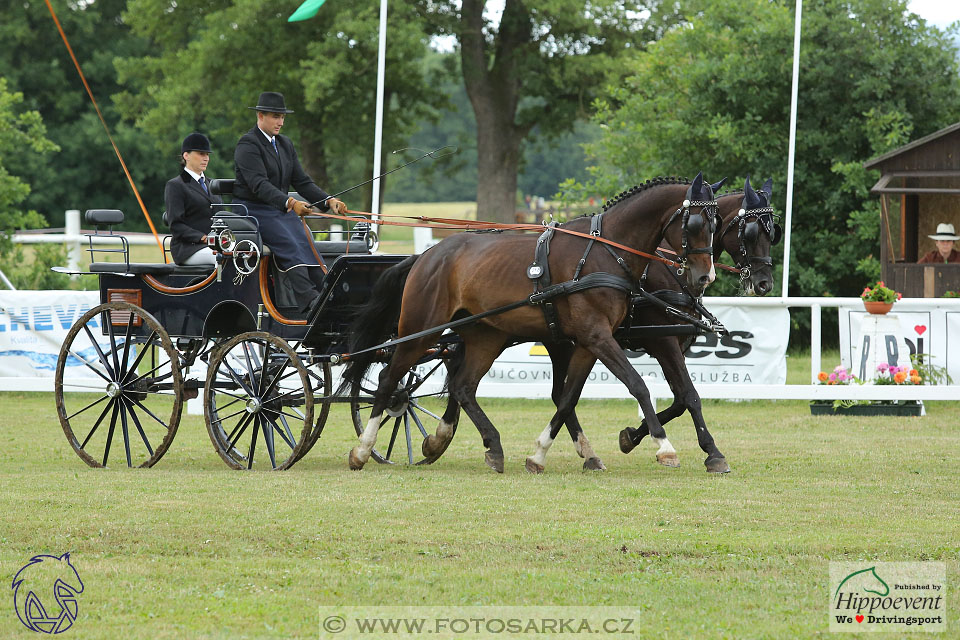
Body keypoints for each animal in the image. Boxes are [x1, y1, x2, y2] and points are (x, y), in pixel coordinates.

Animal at [344, 172, 720, 472]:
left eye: (716, 225)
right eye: (695, 225)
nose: (705, 277)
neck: (606, 253)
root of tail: (427, 255)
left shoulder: (590, 342)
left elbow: (568, 397)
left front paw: (539, 455)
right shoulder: (601, 336)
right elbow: (639, 385)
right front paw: (665, 447)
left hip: (485, 337)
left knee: (463, 386)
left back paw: (489, 446)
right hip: (419, 330)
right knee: (390, 380)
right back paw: (363, 450)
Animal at [532, 178, 780, 472]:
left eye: (773, 234)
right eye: (751, 233)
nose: (764, 284)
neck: (673, 270)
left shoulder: (675, 345)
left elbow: (680, 400)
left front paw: (632, 435)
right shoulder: (663, 342)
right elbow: (690, 395)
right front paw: (711, 452)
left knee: (561, 394)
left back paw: (587, 453)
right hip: (564, 343)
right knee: (561, 394)